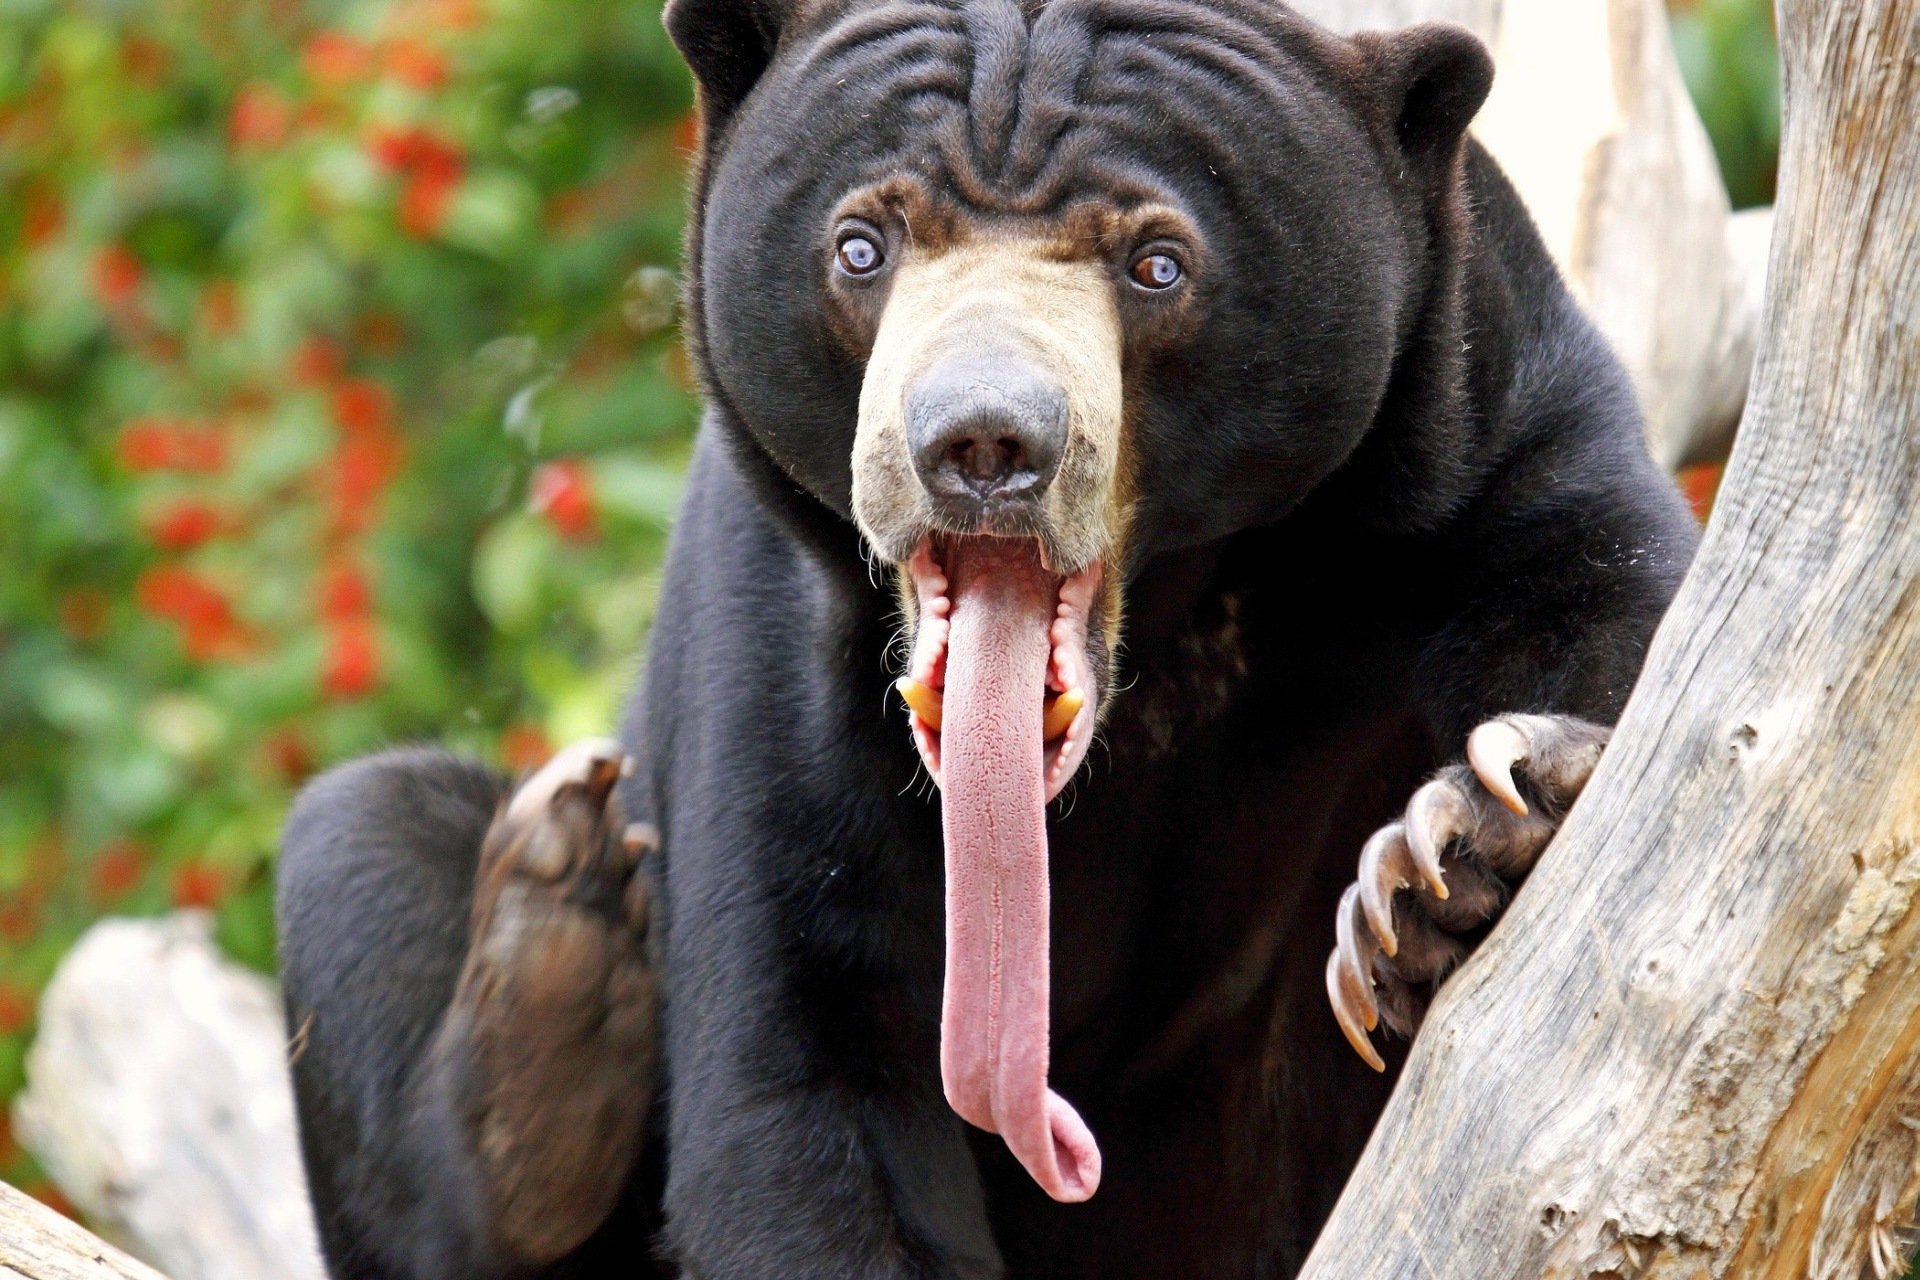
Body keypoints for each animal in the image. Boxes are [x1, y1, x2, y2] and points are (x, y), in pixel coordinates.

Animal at [273, 0, 1701, 1274]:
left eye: (1156, 263)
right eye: (863, 245)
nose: (980, 445)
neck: (1170, 622)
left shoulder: (1481, 418)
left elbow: (1608, 610)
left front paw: (1457, 848)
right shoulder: (776, 631)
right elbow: (801, 1057)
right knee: (366, 834)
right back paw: (551, 974)